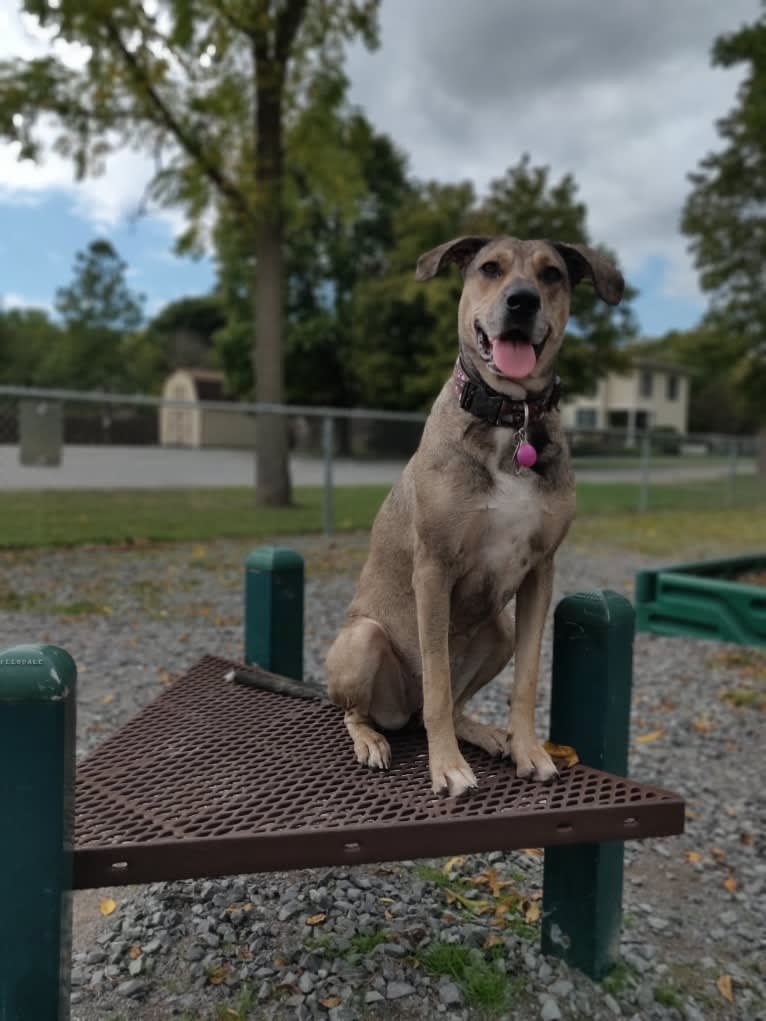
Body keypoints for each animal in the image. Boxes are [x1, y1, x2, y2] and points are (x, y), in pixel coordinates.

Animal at [324, 236, 625, 796]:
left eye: (552, 274)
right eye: (490, 268)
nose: (522, 301)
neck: (511, 415)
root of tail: (400, 713)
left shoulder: (540, 571)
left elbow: (526, 679)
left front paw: (529, 750)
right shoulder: (434, 568)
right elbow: (439, 683)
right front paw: (446, 766)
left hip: (499, 628)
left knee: (453, 704)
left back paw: (484, 734)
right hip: (364, 639)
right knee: (368, 710)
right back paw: (371, 740)